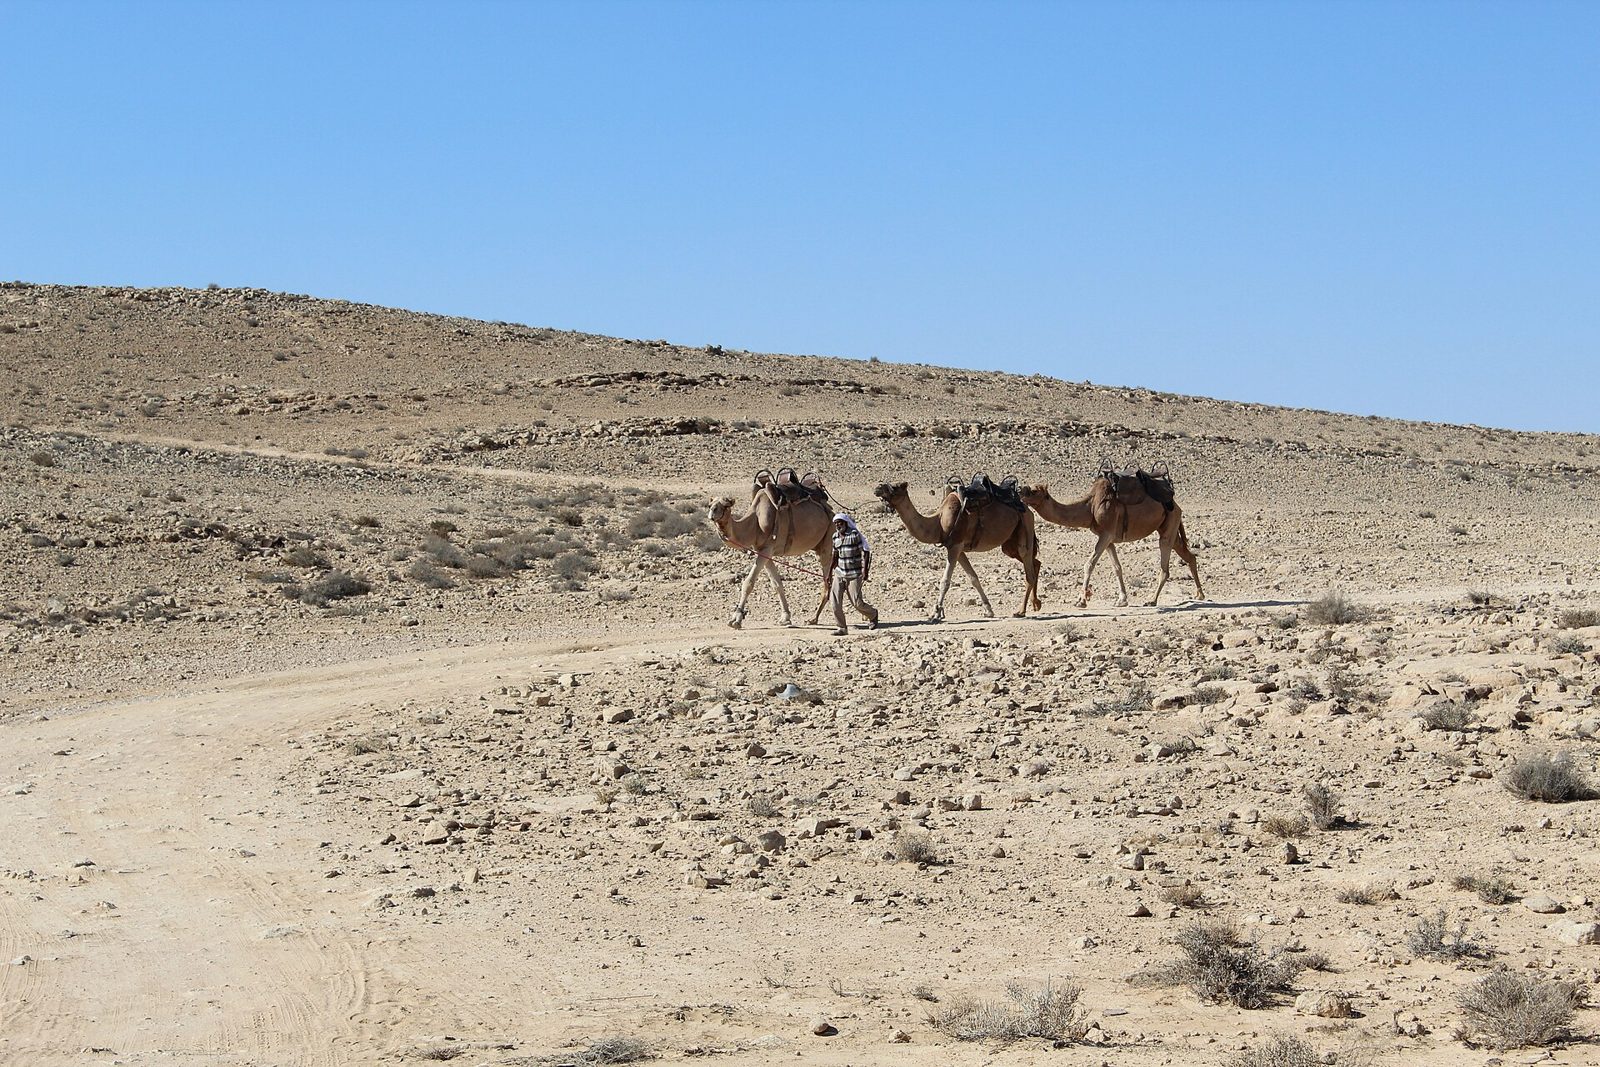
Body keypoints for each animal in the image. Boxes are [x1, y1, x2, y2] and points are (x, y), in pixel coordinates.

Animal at [708, 488, 833, 629]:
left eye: (726, 505)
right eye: (710, 504)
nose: (712, 512)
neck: (754, 523)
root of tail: (830, 510)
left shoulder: (767, 548)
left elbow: (748, 583)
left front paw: (736, 619)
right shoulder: (763, 552)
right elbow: (777, 584)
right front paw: (785, 618)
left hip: (829, 539)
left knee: (828, 581)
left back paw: (814, 618)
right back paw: (814, 619)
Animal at [873, 482, 1041, 621]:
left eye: (895, 487)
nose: (877, 488)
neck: (938, 522)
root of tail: (1027, 509)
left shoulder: (955, 546)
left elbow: (945, 581)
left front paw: (935, 613)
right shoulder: (958, 549)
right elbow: (973, 578)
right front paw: (989, 610)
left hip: (1025, 526)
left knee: (1029, 570)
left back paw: (1021, 611)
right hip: (1009, 544)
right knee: (1036, 562)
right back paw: (1036, 604)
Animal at [1020, 477, 1203, 608]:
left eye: (1034, 491)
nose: (1021, 492)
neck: (1090, 507)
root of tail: (1176, 505)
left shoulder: (1106, 534)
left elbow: (1089, 564)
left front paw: (1081, 601)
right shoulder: (1108, 539)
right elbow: (1117, 568)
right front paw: (1122, 600)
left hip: (1169, 525)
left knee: (1165, 564)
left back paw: (1152, 600)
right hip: (1169, 526)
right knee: (1189, 555)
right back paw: (1200, 594)